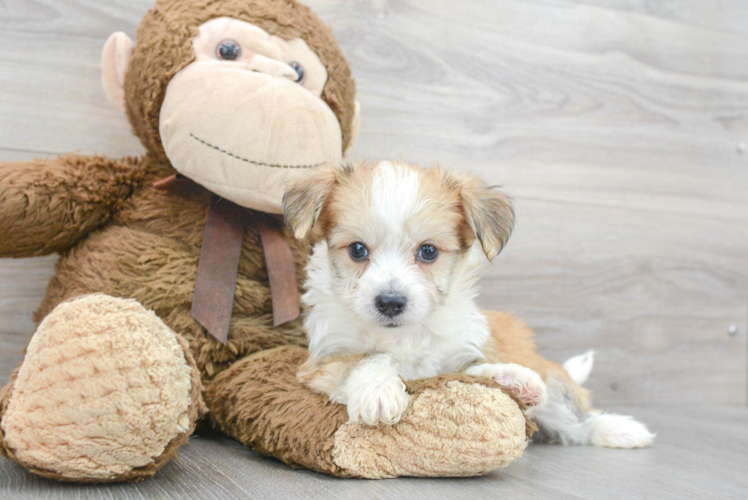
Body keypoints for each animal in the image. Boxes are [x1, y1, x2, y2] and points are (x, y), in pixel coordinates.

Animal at [282, 161, 656, 450]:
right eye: (357, 250)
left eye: (428, 251)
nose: (390, 302)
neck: (403, 334)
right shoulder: (319, 364)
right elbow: (362, 359)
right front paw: (378, 389)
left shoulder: (459, 353)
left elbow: (474, 370)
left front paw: (514, 377)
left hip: (558, 393)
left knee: (577, 421)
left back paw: (621, 430)